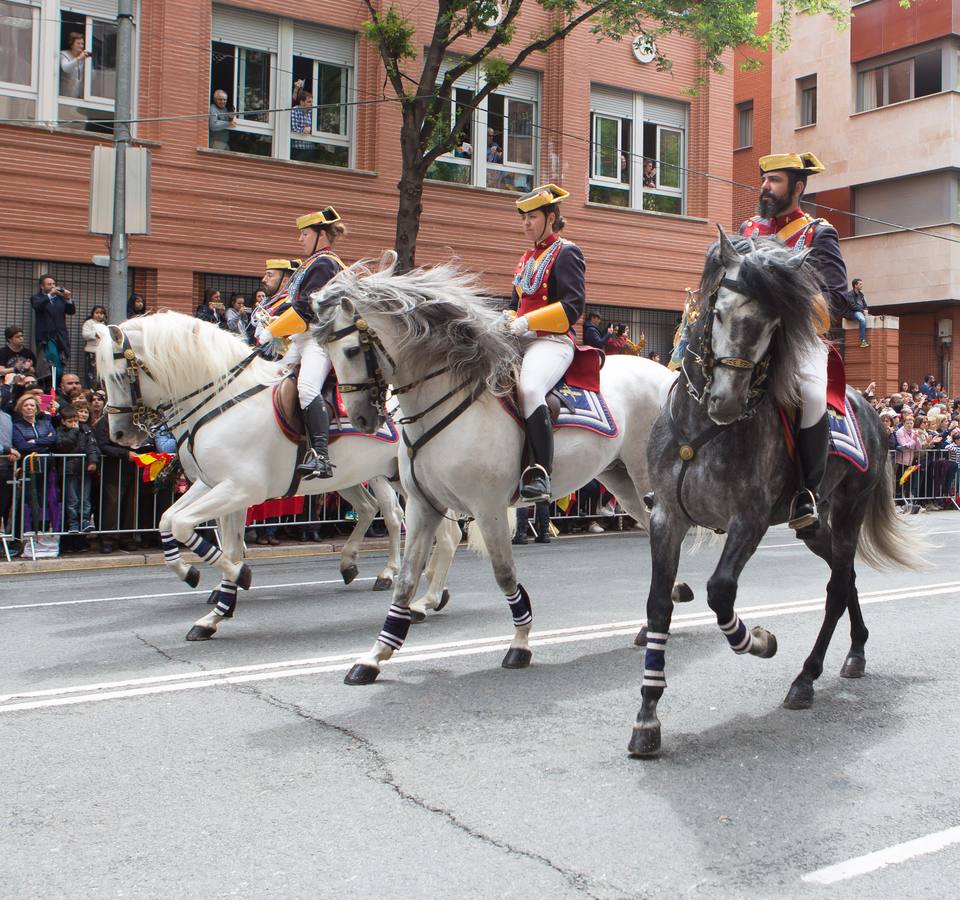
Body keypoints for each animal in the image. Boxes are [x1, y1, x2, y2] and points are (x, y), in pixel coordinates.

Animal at [94, 314, 462, 640]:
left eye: (119, 376)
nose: (120, 433)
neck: (222, 400)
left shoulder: (241, 488)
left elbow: (189, 529)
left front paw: (236, 578)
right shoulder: (213, 485)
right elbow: (173, 523)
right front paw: (211, 602)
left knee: (417, 523)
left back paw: (420, 596)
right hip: (385, 477)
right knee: (412, 521)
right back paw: (415, 586)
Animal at [308, 260, 676, 684]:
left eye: (352, 349)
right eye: (325, 352)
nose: (362, 418)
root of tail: (667, 376)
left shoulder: (489, 509)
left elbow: (504, 574)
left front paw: (520, 643)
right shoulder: (422, 506)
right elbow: (405, 582)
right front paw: (374, 656)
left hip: (647, 479)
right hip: (620, 481)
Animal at [632, 230, 920, 760]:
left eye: (773, 324)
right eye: (719, 311)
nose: (725, 401)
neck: (701, 431)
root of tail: (872, 410)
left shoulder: (749, 520)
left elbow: (720, 591)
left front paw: (759, 640)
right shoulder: (667, 519)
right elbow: (659, 604)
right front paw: (647, 715)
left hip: (848, 509)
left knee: (836, 587)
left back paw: (806, 678)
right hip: (813, 525)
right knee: (844, 575)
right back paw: (856, 650)